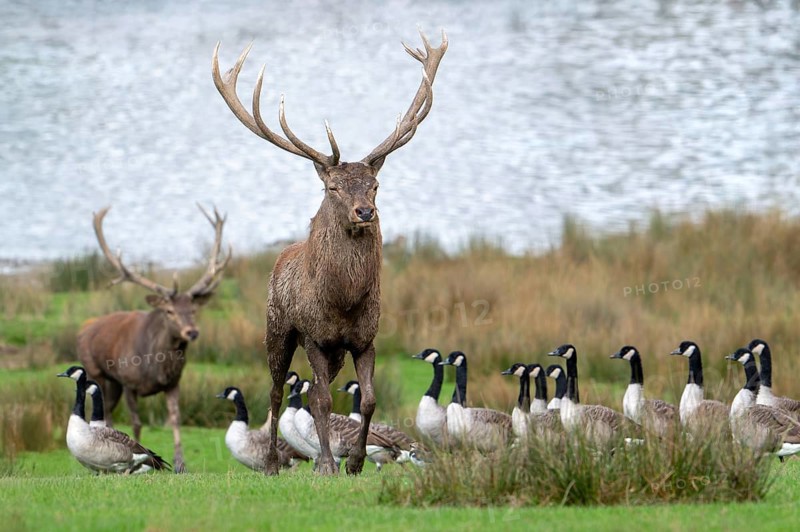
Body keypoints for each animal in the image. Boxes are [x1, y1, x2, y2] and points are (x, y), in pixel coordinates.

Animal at [77, 205, 231, 473]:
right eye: (169, 311)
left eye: (193, 309)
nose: (192, 332)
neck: (155, 367)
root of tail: (84, 329)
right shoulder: (129, 382)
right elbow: (136, 422)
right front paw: (138, 459)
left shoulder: (173, 383)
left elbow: (176, 419)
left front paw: (180, 464)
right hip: (98, 372)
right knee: (106, 413)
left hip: (114, 384)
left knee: (108, 411)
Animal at [212, 30, 447, 475]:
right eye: (333, 187)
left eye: (375, 185)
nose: (365, 211)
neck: (343, 300)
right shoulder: (315, 337)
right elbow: (319, 399)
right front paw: (326, 464)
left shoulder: (365, 339)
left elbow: (368, 399)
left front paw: (354, 461)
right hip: (277, 329)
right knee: (275, 391)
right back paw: (273, 462)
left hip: (333, 351)